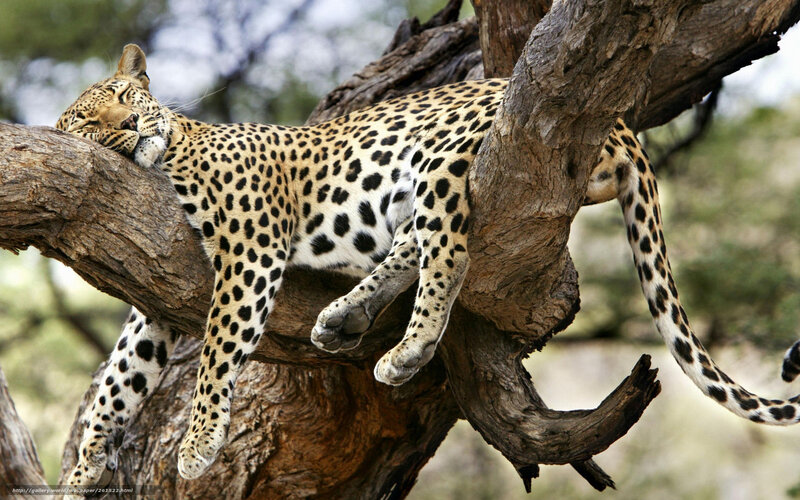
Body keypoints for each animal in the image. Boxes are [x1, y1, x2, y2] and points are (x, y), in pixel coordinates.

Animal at [55, 43, 800, 491]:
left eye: (125, 97)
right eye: (87, 122)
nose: (130, 127)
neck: (172, 152)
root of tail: (620, 125)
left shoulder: (250, 248)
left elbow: (215, 354)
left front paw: (197, 445)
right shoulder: (157, 290)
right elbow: (121, 375)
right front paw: (88, 460)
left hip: (440, 156)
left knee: (448, 250)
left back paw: (406, 351)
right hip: (406, 192)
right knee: (414, 243)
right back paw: (342, 316)